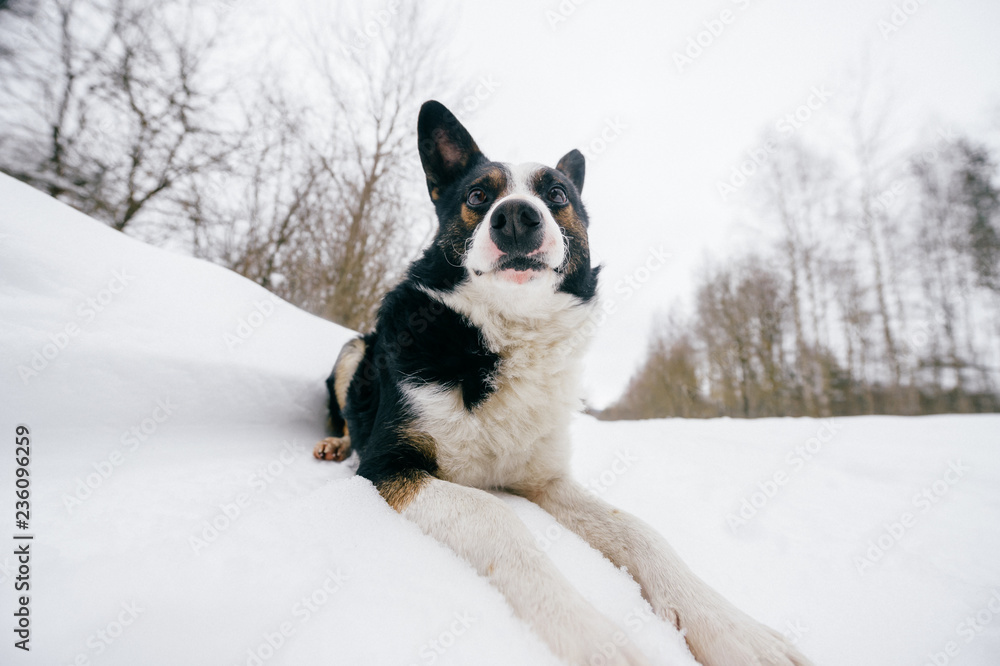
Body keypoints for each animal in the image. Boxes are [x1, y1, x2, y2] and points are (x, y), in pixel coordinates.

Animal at [312, 100, 812, 664]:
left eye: (556, 194)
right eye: (478, 196)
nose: (515, 217)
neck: (510, 330)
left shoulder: (546, 480)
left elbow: (639, 530)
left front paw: (730, 626)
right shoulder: (387, 466)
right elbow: (497, 516)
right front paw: (599, 640)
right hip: (355, 349)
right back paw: (335, 443)